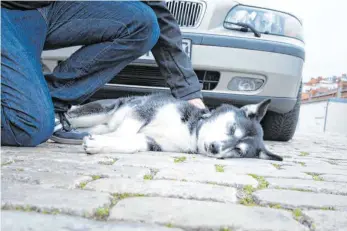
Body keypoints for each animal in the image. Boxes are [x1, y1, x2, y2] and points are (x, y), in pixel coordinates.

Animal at [66, 92, 284, 161]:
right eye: (231, 128)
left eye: (238, 150)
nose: (215, 148)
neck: (191, 132)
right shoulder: (145, 109)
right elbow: (124, 132)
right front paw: (106, 140)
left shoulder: (152, 142)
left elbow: (131, 142)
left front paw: (101, 144)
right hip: (100, 111)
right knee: (72, 116)